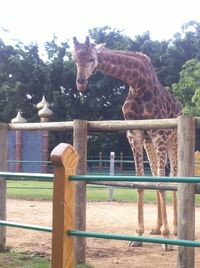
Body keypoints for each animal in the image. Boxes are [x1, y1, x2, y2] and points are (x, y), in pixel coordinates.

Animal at [72, 35, 182, 249]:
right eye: (74, 59)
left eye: (92, 58)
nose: (80, 83)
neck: (137, 84)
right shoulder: (135, 134)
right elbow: (141, 182)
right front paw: (138, 235)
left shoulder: (159, 134)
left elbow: (161, 183)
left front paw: (167, 240)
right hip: (150, 144)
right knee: (156, 172)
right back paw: (156, 228)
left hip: (173, 141)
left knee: (173, 176)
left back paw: (174, 230)